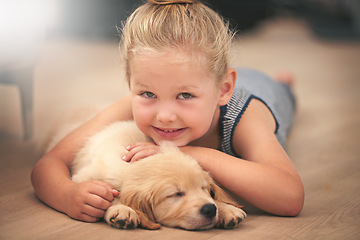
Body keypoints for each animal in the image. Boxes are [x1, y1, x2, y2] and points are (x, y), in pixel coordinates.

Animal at [71, 121, 246, 230]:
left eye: (204, 188)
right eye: (176, 194)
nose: (210, 209)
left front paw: (225, 209)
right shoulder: (86, 176)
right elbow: (110, 195)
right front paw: (122, 209)